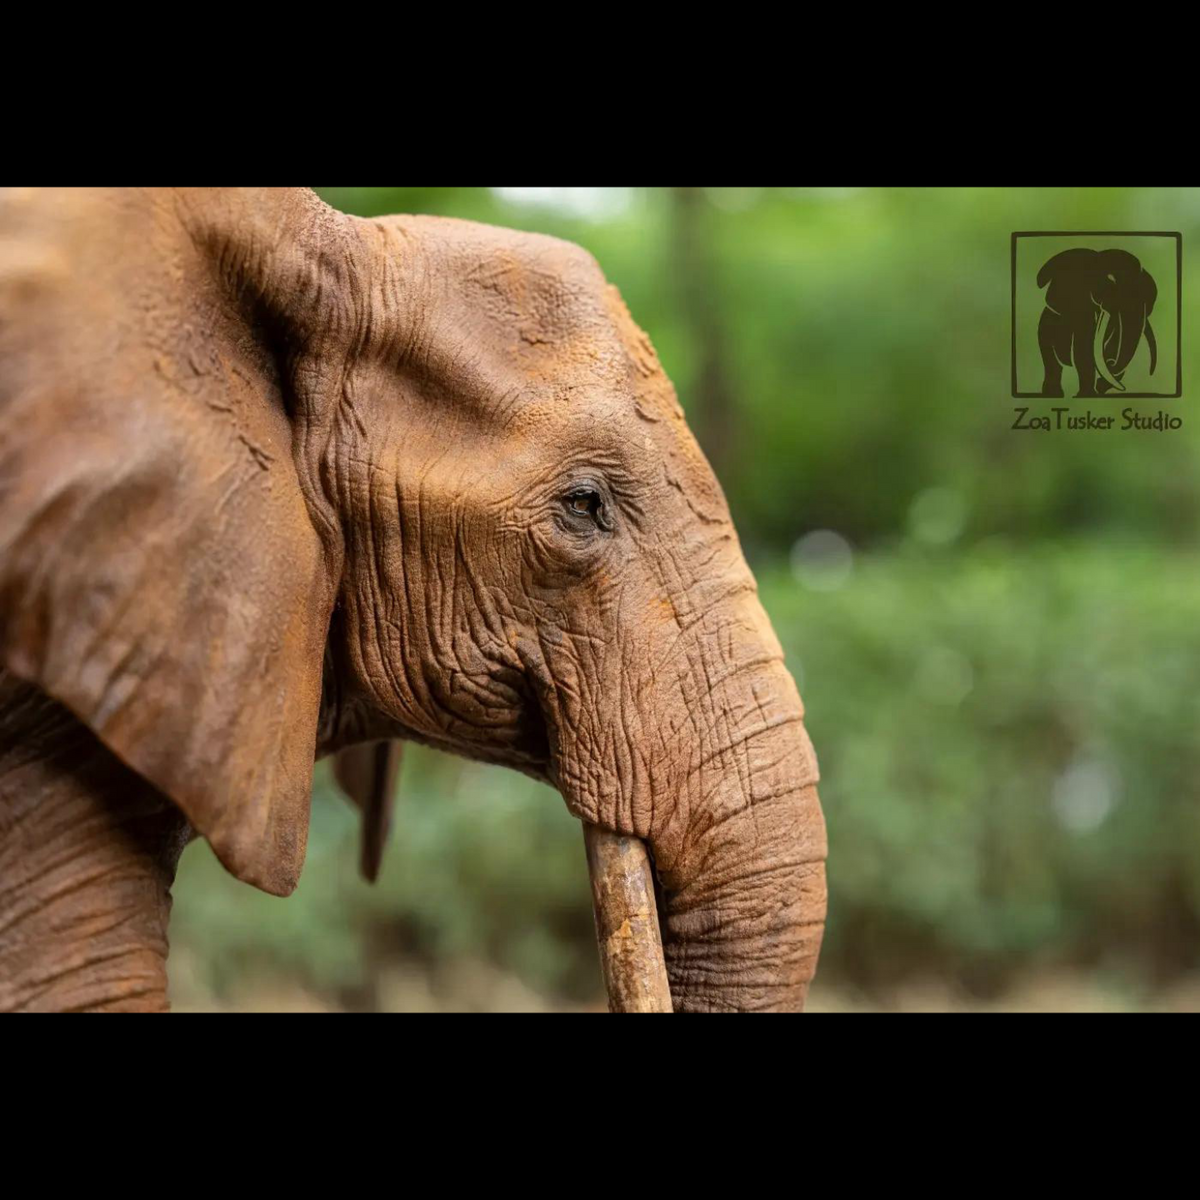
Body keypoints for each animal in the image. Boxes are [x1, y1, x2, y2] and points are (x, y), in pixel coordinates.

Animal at [1037, 247, 1157, 397]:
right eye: (1110, 281)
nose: (1110, 362)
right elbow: (1084, 350)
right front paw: (1086, 395)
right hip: (1046, 326)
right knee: (1051, 361)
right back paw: (1054, 394)